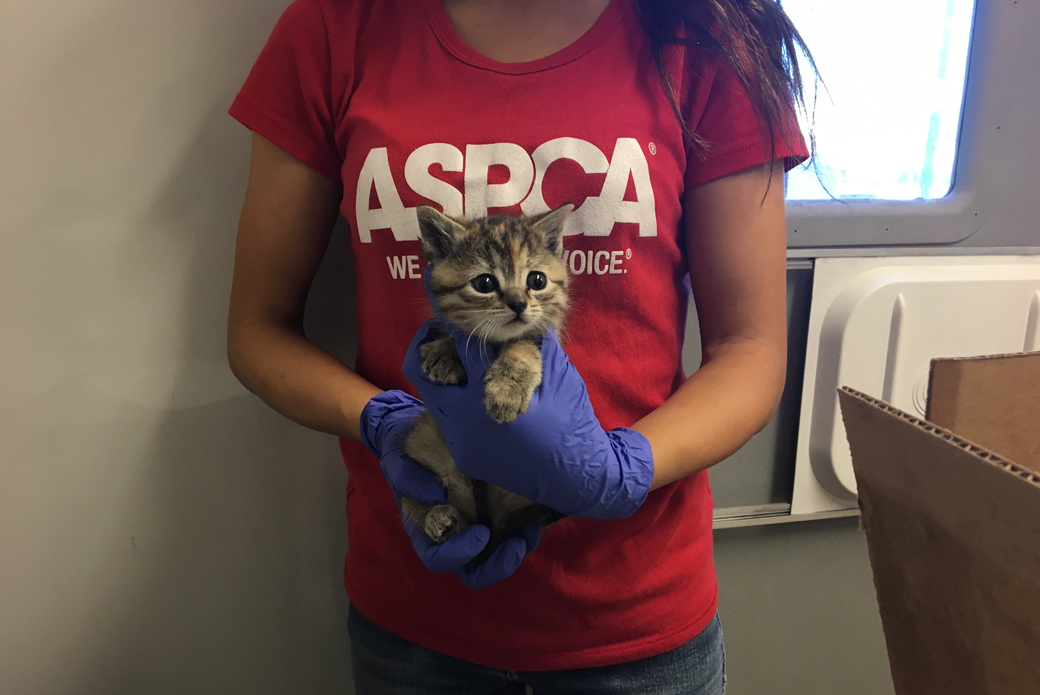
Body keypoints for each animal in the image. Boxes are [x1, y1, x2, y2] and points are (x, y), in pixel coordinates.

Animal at [399, 203, 578, 565]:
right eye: (484, 282)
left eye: (536, 280)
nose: (519, 304)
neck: (496, 343)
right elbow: (456, 334)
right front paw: (444, 353)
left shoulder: (541, 339)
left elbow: (524, 345)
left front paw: (507, 389)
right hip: (422, 442)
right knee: (414, 499)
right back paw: (439, 517)